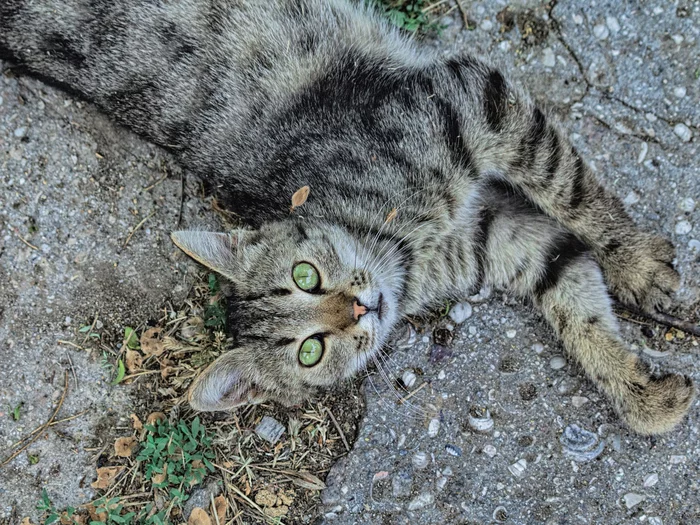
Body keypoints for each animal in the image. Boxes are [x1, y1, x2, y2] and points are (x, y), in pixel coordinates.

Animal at [0, 0, 688, 434]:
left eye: (305, 275)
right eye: (310, 352)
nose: (360, 309)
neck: (404, 252)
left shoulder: (466, 99)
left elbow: (573, 190)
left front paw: (636, 264)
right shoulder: (503, 234)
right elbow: (574, 296)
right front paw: (642, 391)